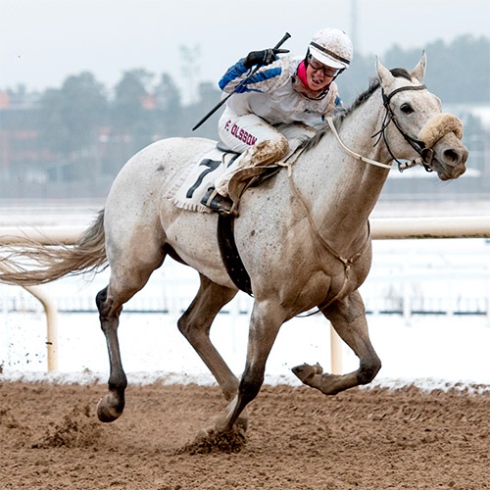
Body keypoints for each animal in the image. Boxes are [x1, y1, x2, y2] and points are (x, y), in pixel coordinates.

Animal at [0, 53, 468, 436]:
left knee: (190, 324)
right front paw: (214, 430)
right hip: (136, 261)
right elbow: (253, 379)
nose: (456, 155)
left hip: (219, 275)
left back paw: (228, 404)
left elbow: (370, 365)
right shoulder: (268, 304)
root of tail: (136, 158)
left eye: (438, 102)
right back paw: (114, 399)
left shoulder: (342, 297)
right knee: (108, 305)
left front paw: (309, 373)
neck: (320, 207)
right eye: (406, 107)